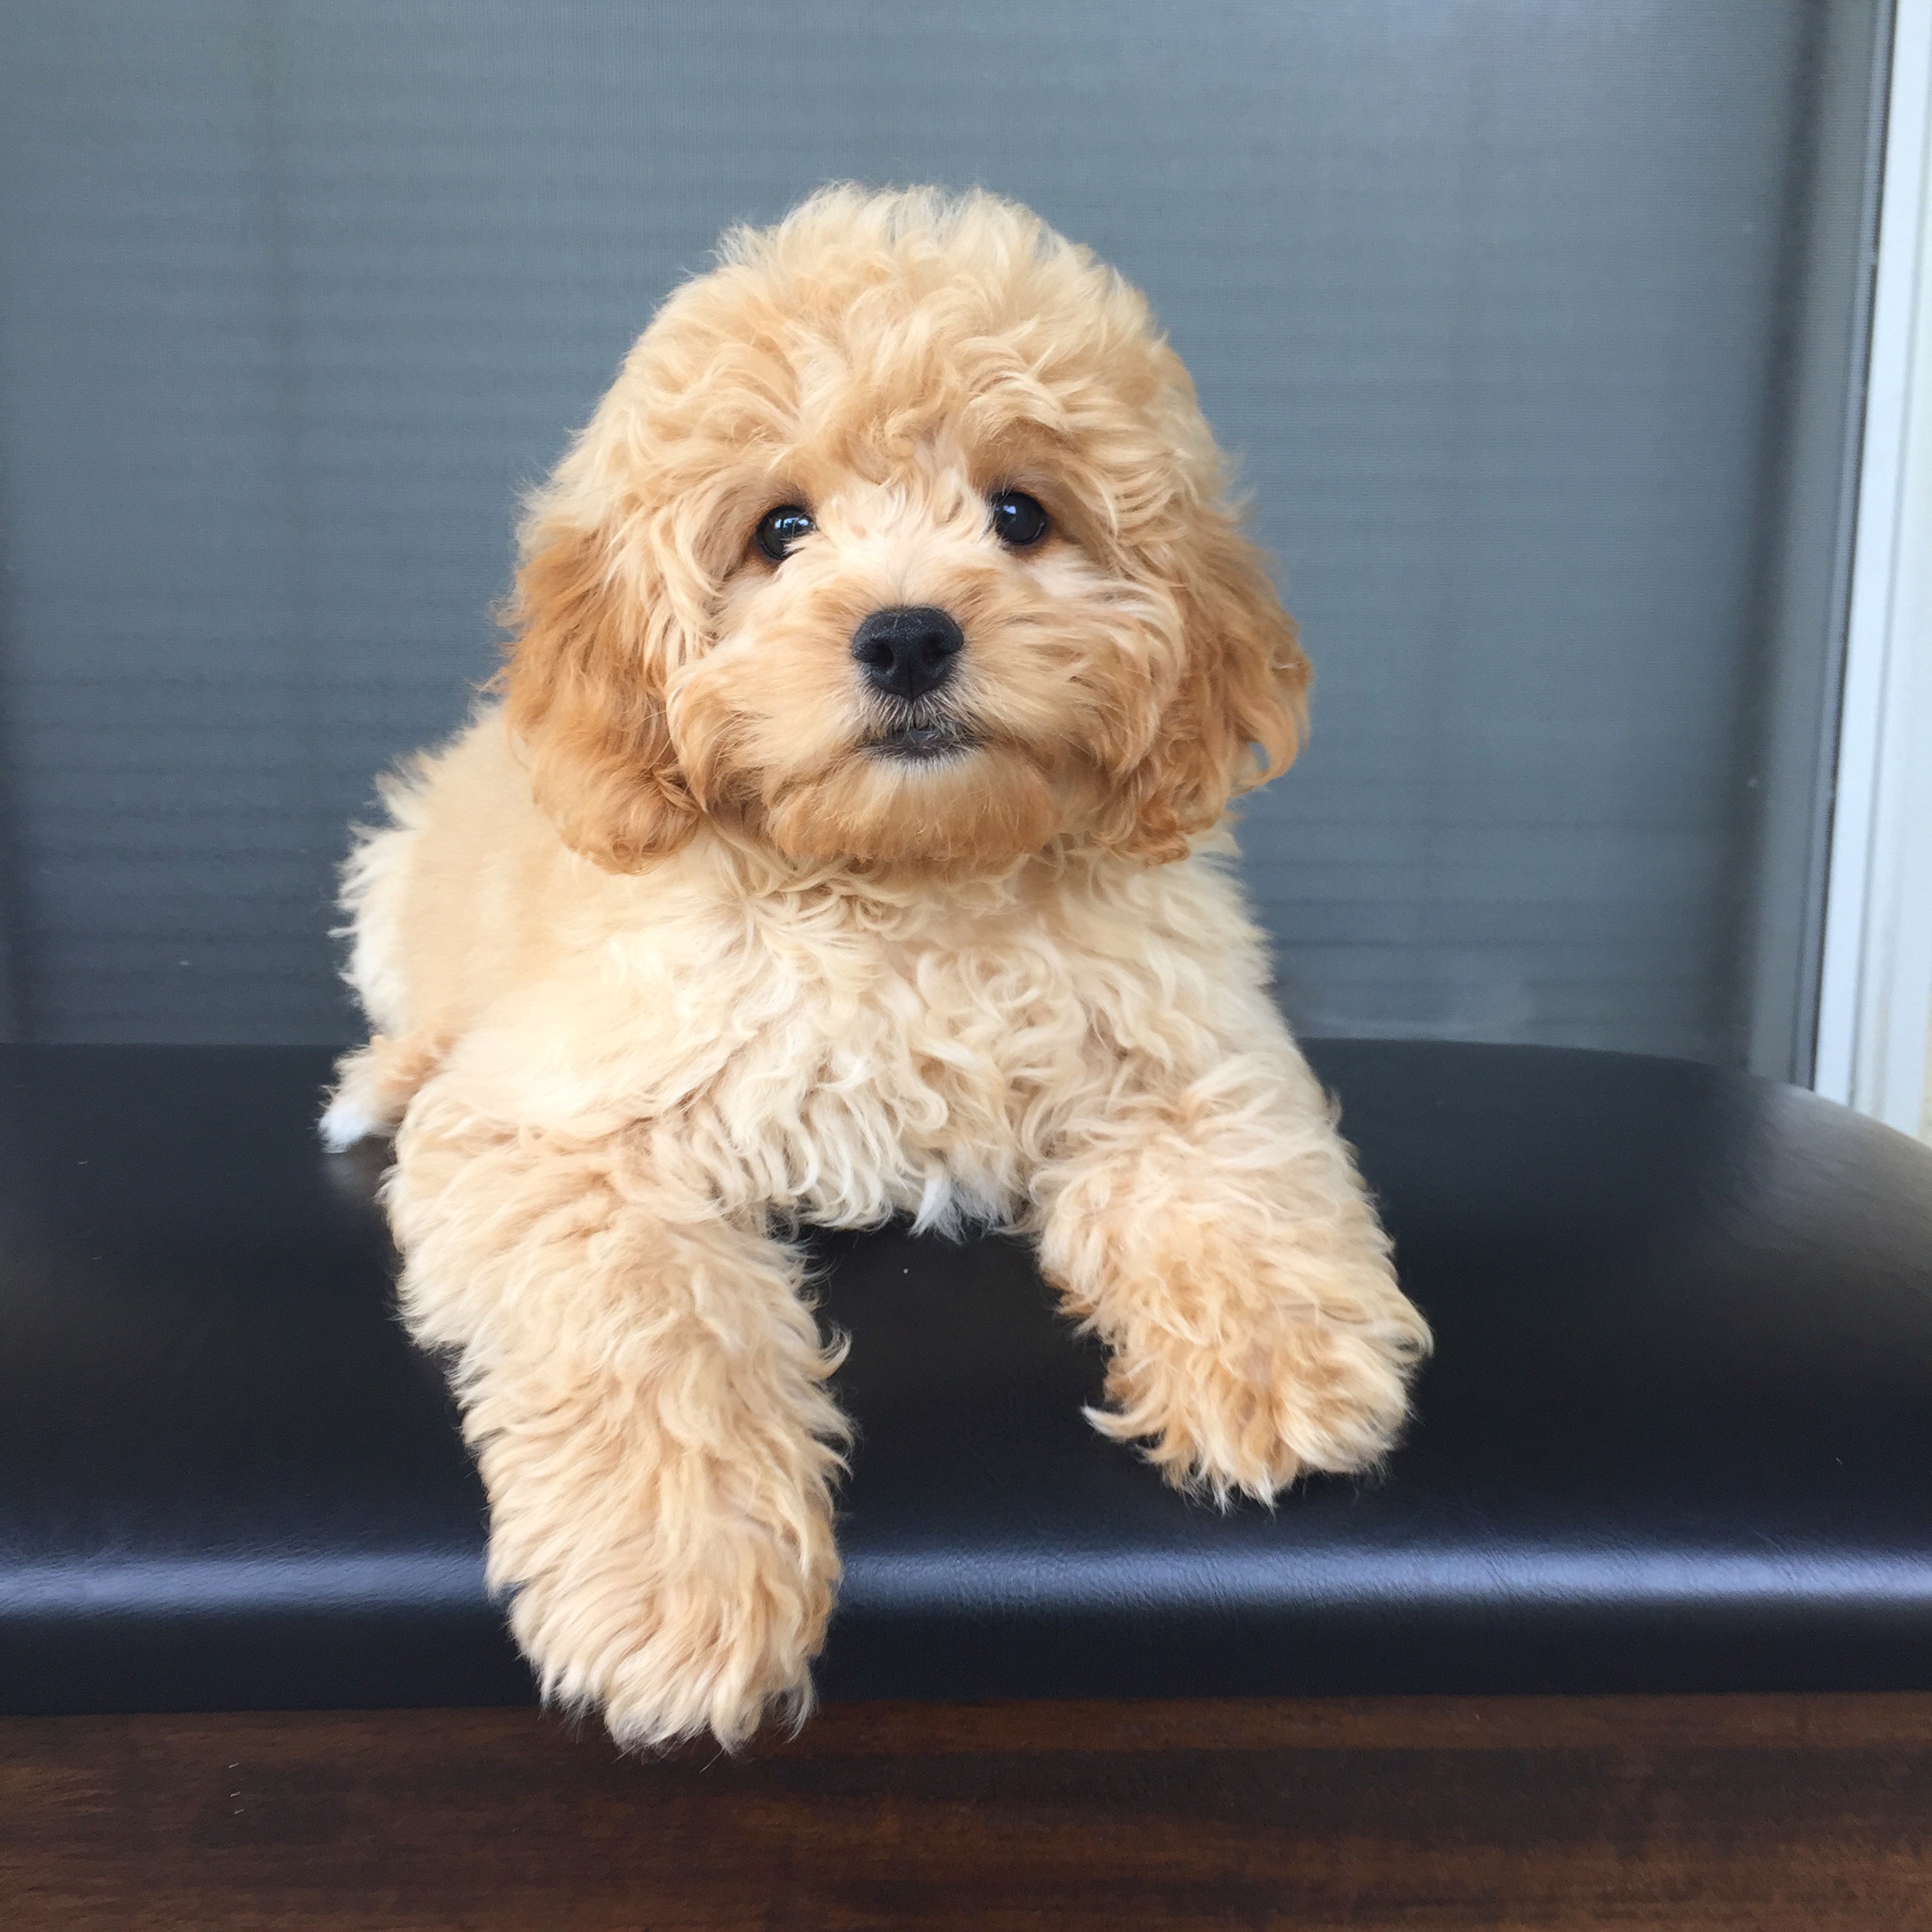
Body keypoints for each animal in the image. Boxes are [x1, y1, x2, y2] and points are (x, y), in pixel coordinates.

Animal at [324, 192, 1429, 1754]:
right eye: (779, 530)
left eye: (1020, 513)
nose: (907, 633)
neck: (903, 886)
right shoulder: (554, 1133)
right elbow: (643, 1324)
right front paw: (678, 1589)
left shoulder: (1183, 1036)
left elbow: (1233, 1171)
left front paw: (1279, 1362)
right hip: (393, 869)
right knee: (410, 1020)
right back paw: (386, 1071)